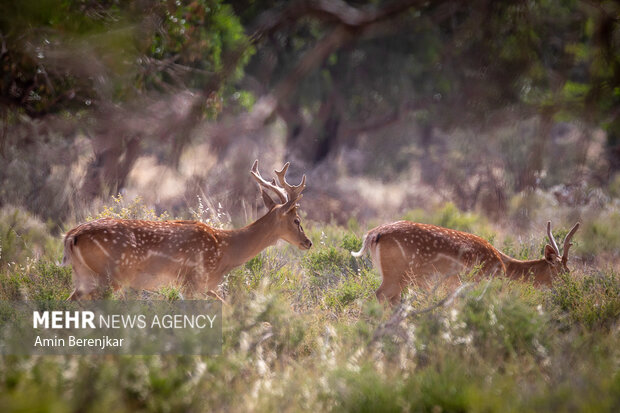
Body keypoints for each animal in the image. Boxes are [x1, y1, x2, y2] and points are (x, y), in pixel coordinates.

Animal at [61, 159, 310, 298]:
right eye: (297, 220)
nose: (308, 242)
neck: (226, 251)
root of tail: (71, 236)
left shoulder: (204, 286)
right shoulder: (192, 280)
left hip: (84, 274)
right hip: (111, 274)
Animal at [354, 220, 580, 304]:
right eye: (564, 271)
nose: (572, 288)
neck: (505, 266)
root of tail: (372, 235)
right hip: (396, 273)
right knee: (378, 296)